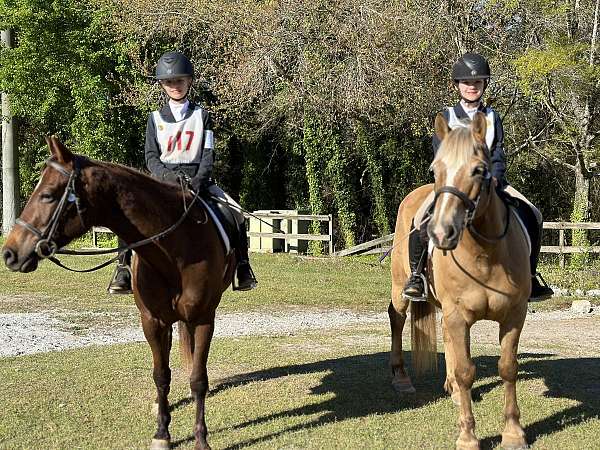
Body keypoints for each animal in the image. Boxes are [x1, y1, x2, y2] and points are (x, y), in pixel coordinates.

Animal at [2, 137, 237, 450]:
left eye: (49, 195)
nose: (10, 253)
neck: (177, 250)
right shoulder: (152, 322)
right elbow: (161, 376)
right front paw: (161, 433)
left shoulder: (203, 319)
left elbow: (199, 379)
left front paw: (200, 439)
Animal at [390, 112, 528, 450]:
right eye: (435, 169)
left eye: (479, 170)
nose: (441, 234)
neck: (485, 256)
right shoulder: (457, 313)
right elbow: (467, 371)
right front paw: (467, 436)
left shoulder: (514, 315)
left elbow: (508, 368)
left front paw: (513, 432)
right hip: (401, 289)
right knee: (396, 319)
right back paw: (401, 378)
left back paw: (450, 388)